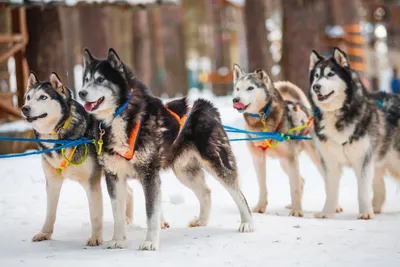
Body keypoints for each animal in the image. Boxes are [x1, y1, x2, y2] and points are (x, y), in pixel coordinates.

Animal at [21, 73, 134, 247]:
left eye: (43, 97)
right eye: (28, 97)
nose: (24, 108)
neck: (61, 136)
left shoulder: (91, 182)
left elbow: (95, 214)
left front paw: (96, 238)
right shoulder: (52, 181)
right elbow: (50, 212)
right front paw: (45, 233)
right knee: (129, 192)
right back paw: (126, 219)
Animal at [78, 49, 253, 252]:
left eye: (100, 79)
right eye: (86, 79)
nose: (81, 92)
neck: (121, 118)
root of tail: (205, 105)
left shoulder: (149, 174)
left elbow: (151, 214)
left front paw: (150, 242)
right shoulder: (114, 176)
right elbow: (118, 214)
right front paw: (118, 240)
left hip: (217, 163)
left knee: (238, 193)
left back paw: (247, 223)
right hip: (185, 172)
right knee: (206, 192)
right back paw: (201, 220)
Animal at [231, 65, 322, 218]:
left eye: (250, 88)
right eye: (237, 88)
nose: (235, 99)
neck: (262, 119)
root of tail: (304, 108)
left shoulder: (291, 159)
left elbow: (294, 188)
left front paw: (297, 211)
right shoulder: (258, 158)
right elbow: (262, 186)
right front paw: (260, 207)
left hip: (311, 158)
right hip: (284, 163)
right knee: (300, 180)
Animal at [310, 47, 400, 220]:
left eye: (330, 74)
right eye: (316, 75)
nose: (316, 86)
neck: (338, 114)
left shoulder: (363, 160)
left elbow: (362, 190)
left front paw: (365, 212)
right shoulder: (330, 161)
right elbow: (330, 189)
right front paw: (327, 212)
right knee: (380, 186)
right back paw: (375, 207)